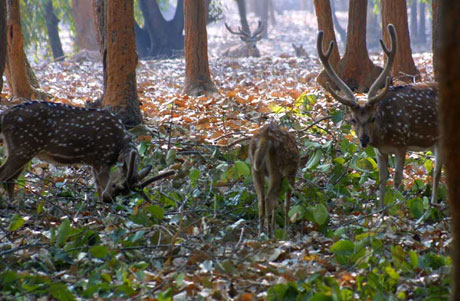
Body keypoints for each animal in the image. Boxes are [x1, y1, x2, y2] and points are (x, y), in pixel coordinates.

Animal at [316, 24, 442, 206]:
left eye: (372, 118)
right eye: (353, 120)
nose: (364, 140)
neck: (384, 136)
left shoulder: (402, 143)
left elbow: (397, 180)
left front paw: (397, 207)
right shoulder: (379, 151)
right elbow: (382, 180)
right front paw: (380, 209)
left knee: (437, 171)